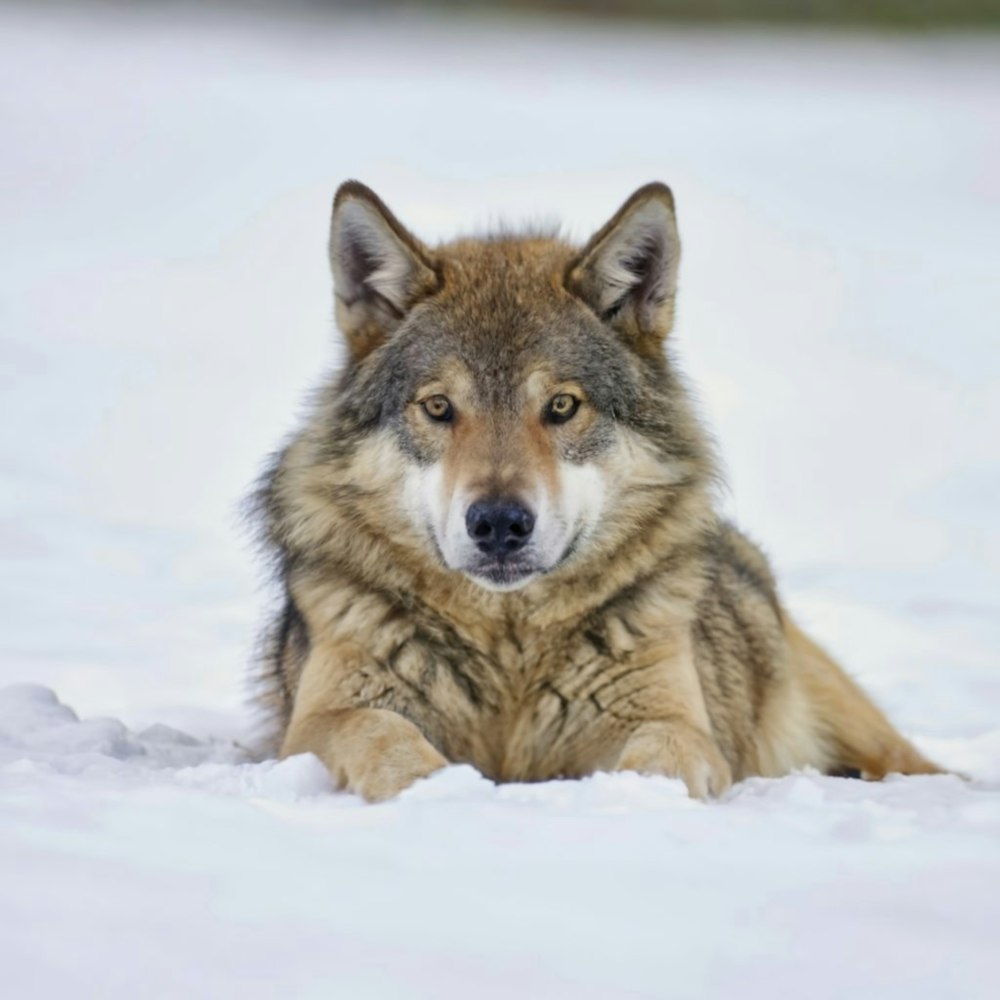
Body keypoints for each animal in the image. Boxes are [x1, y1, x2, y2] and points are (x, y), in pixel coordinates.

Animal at [254, 180, 940, 800]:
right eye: (439, 407)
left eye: (561, 406)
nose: (498, 523)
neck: (510, 655)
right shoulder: (320, 720)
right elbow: (382, 734)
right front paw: (434, 792)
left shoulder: (671, 719)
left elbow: (660, 758)